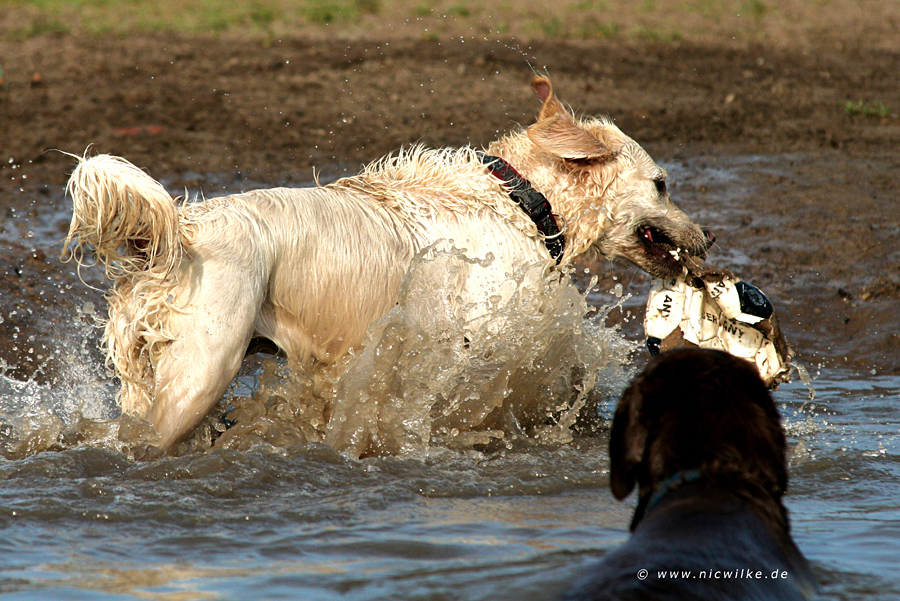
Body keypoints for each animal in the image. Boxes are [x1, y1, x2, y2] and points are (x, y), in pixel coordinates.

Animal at [63, 76, 712, 450]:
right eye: (661, 184)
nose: (707, 235)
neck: (519, 198)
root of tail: (178, 233)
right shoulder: (482, 336)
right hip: (203, 367)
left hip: (151, 372)